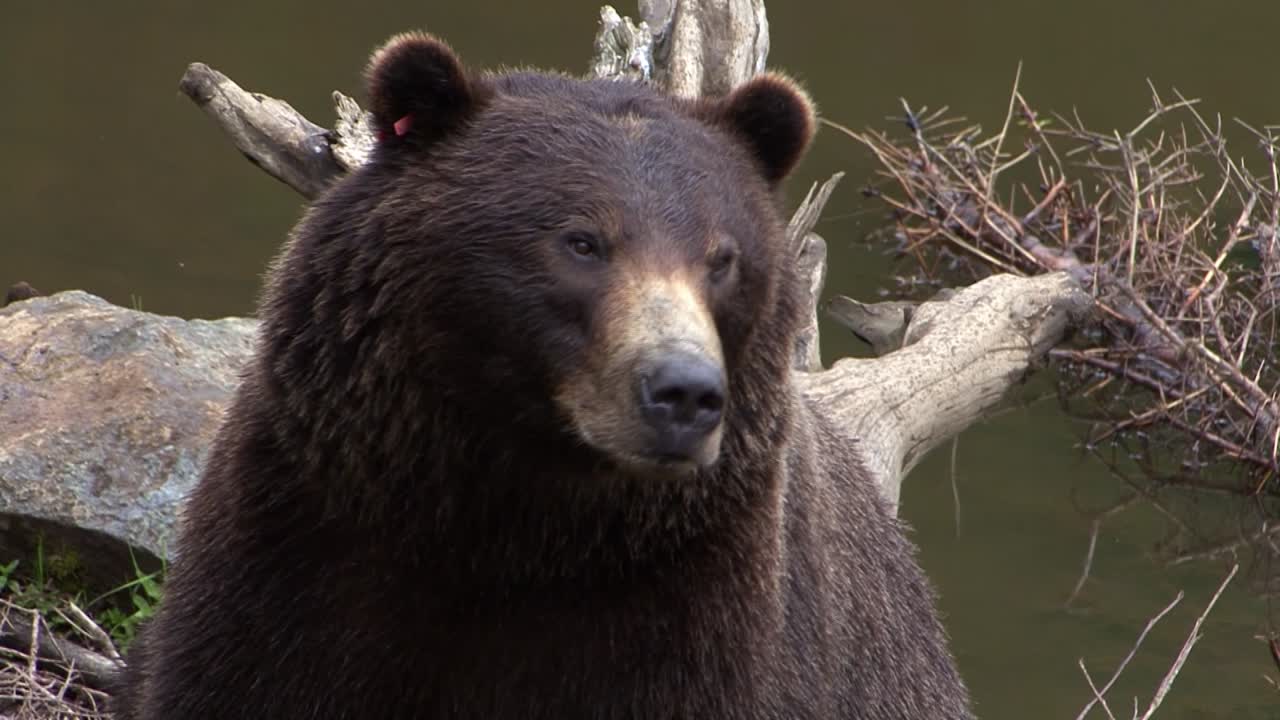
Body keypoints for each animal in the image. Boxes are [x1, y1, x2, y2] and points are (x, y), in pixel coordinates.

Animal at [111, 31, 973, 720]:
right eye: (582, 241)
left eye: (722, 258)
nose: (684, 393)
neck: (525, 522)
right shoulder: (306, 540)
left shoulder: (698, 605)